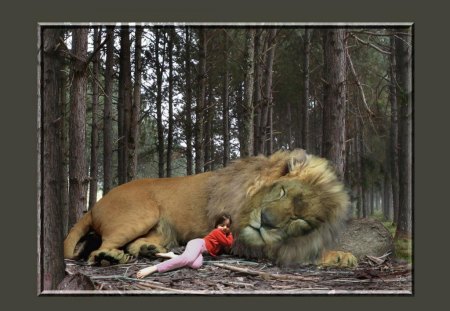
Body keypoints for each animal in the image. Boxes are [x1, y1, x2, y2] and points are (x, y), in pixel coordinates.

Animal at [64, 149, 358, 268]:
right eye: (282, 190)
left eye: (300, 219)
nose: (265, 221)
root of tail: (95, 204)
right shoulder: (241, 241)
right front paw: (340, 256)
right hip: (141, 213)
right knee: (101, 248)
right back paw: (109, 258)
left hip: (159, 227)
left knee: (135, 244)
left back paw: (148, 249)